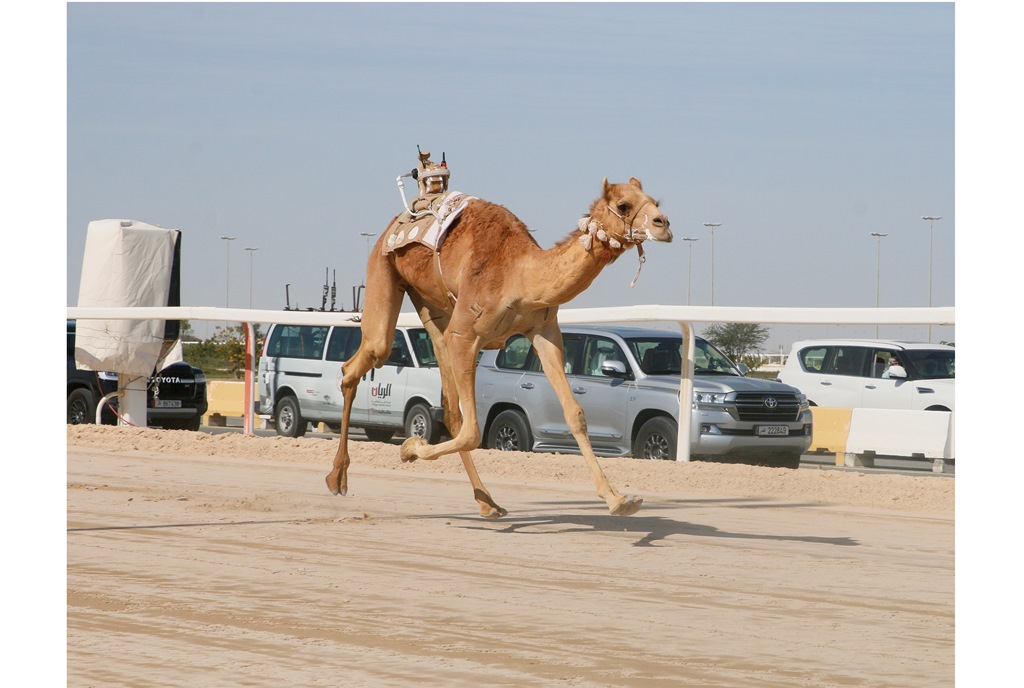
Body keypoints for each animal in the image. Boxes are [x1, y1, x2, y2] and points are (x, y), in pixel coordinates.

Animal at [327, 172, 671, 516]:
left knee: (448, 407)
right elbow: (472, 432)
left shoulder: (544, 332)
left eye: (654, 200)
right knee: (361, 362)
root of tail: (392, 226)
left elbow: (575, 414)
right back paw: (337, 477)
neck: (520, 276)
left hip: (429, 304)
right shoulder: (465, 335)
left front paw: (618, 499)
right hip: (384, 269)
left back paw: (487, 501)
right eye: (623, 205)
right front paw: (410, 448)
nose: (663, 224)